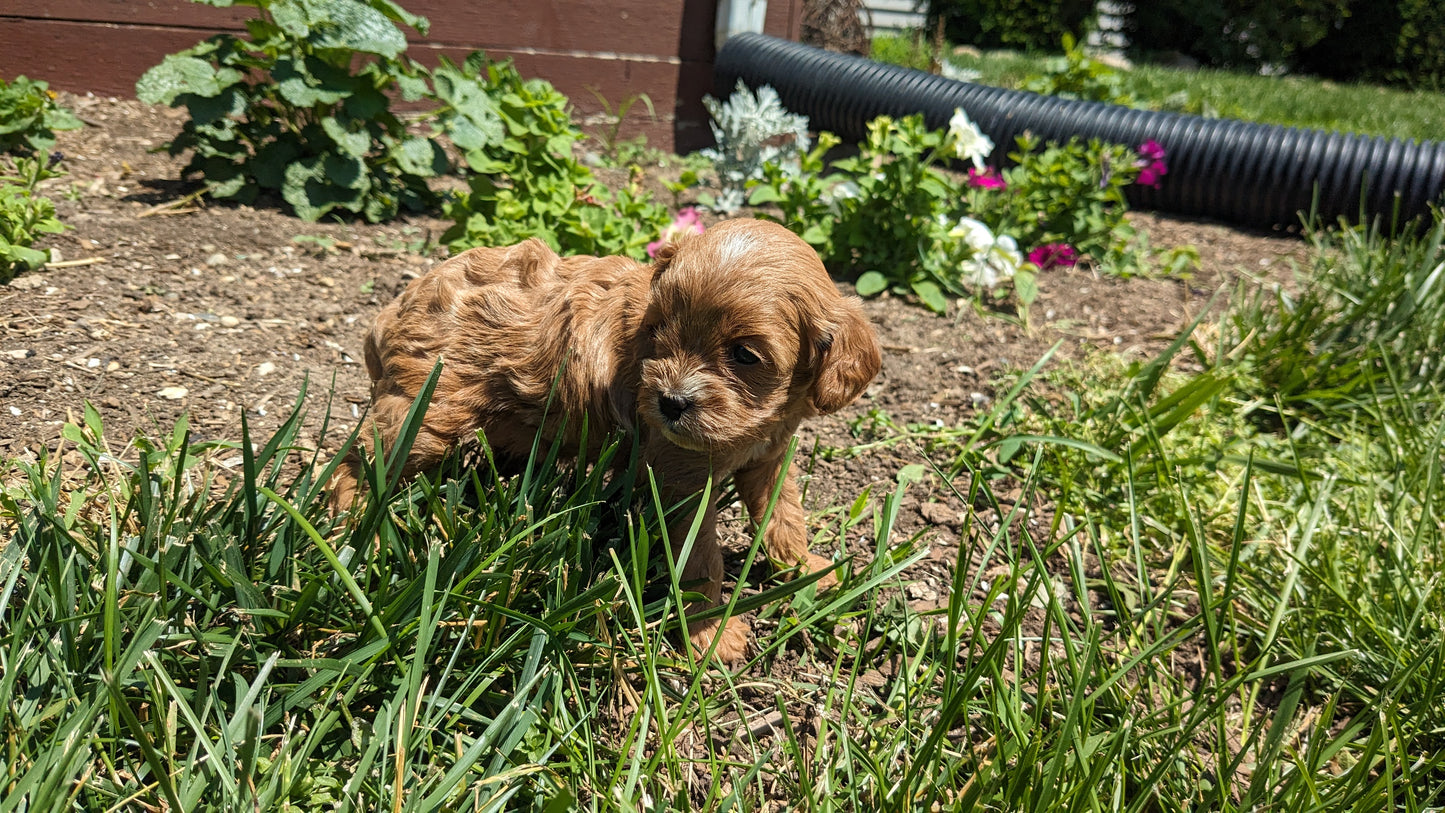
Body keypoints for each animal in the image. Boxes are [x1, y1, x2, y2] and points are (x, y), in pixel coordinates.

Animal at [332, 219, 878, 664]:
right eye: (659, 330)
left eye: (744, 355)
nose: (670, 402)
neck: (755, 423)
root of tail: (397, 306)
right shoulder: (680, 481)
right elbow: (700, 557)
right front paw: (709, 633)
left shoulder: (769, 458)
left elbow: (784, 516)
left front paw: (807, 568)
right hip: (422, 416)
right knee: (354, 464)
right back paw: (356, 533)